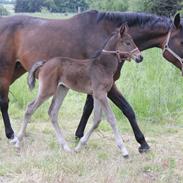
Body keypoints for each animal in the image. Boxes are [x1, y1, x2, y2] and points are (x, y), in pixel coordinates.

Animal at [0, 10, 183, 153]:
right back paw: (12, 136)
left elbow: (90, 110)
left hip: (19, 70)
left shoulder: (97, 87)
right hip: (7, 72)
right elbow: (126, 109)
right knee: (5, 102)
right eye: (181, 41)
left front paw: (79, 137)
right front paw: (142, 143)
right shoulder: (107, 86)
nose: (139, 58)